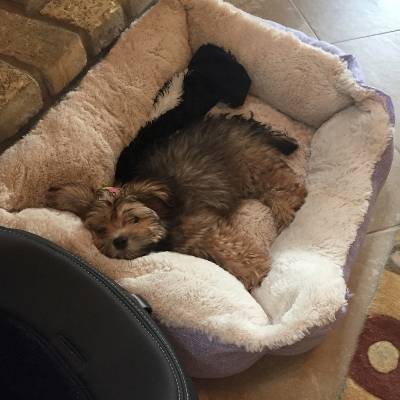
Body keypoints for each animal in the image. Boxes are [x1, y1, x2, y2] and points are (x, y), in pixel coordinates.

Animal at [47, 115, 306, 288]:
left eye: (134, 218)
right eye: (101, 229)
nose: (119, 241)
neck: (165, 219)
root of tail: (241, 123)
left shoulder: (206, 228)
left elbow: (230, 249)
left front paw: (255, 270)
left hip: (251, 164)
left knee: (284, 183)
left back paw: (287, 207)